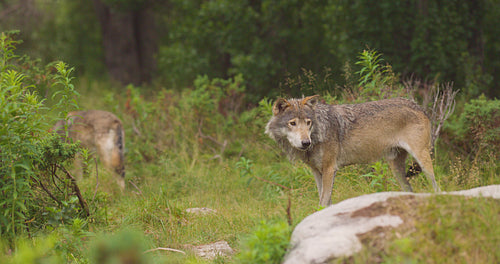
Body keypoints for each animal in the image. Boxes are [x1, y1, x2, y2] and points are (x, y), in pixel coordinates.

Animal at [264, 95, 440, 206]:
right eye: (292, 123)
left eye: (308, 122)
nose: (306, 142)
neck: (319, 132)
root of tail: (419, 107)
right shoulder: (317, 172)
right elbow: (325, 202)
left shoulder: (330, 169)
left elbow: (323, 202)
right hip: (396, 169)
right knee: (410, 190)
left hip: (422, 161)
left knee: (436, 187)